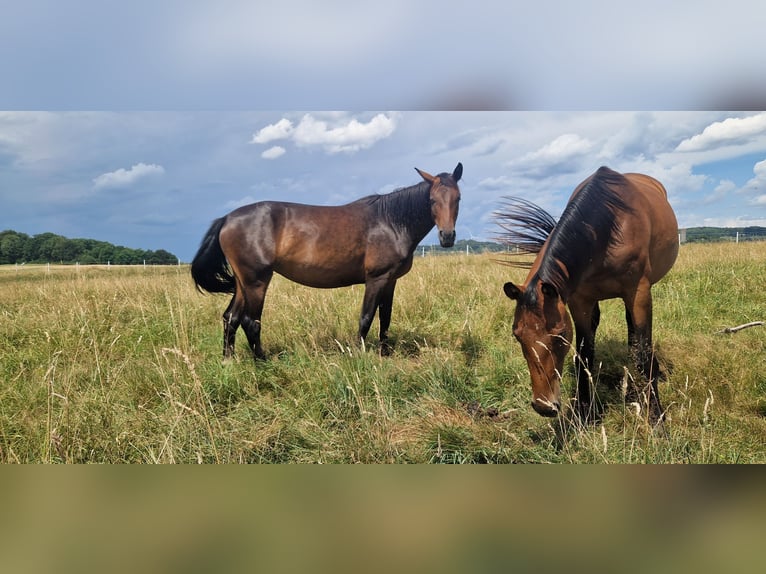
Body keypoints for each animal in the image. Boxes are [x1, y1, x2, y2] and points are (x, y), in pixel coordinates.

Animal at [191, 163, 463, 360]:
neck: (390, 222)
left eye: (457, 198)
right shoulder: (376, 279)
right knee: (250, 322)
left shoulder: (391, 280)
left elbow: (385, 318)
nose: (447, 237)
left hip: (242, 282)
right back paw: (261, 361)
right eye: (432, 200)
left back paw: (229, 360)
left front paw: (385, 354)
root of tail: (227, 219)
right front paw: (359, 355)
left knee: (231, 318)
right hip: (257, 281)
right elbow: (366, 317)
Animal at [495, 166, 678, 424]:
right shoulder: (579, 301)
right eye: (517, 335)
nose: (544, 406)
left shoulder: (639, 293)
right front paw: (584, 412)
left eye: (560, 336)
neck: (609, 229)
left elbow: (643, 353)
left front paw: (656, 418)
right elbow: (584, 354)